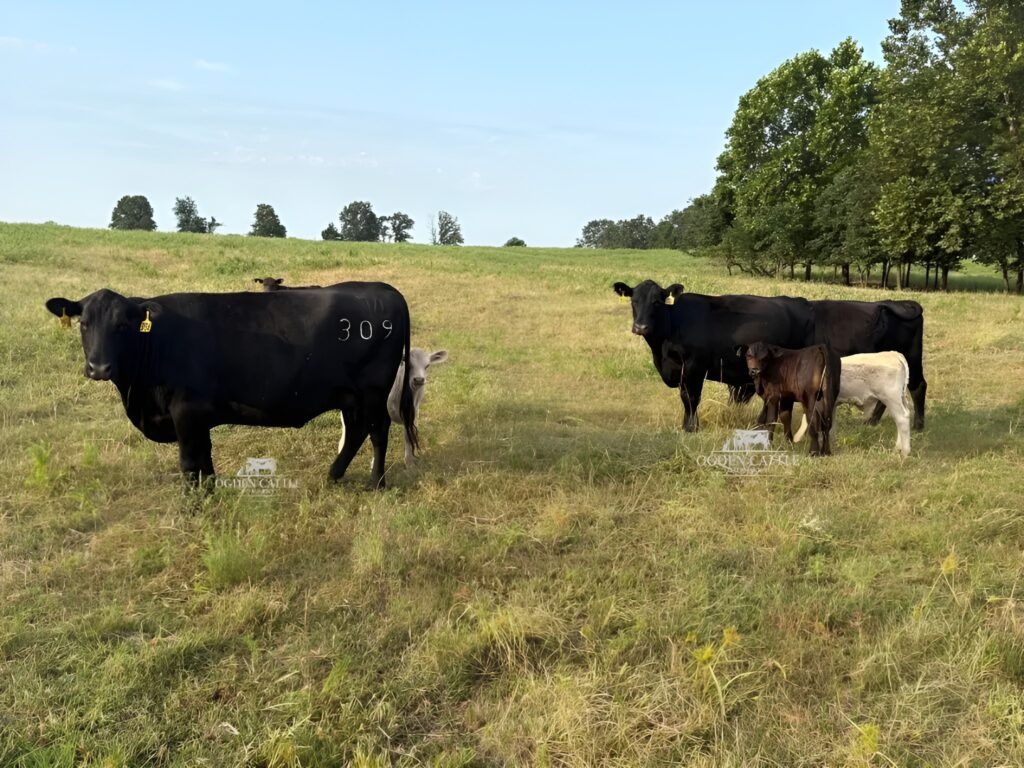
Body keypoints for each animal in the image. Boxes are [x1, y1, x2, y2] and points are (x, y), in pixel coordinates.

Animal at [45, 283, 416, 490]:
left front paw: (195, 507)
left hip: (373, 392)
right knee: (355, 431)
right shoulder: (196, 419)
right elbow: (205, 462)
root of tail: (382, 289)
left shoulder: (186, 412)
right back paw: (333, 475)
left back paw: (375, 483)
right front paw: (211, 497)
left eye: (122, 325)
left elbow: (190, 464)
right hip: (349, 395)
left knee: (378, 430)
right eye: (83, 324)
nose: (99, 367)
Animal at [612, 280, 815, 431]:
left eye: (657, 302)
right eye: (634, 301)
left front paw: (691, 428)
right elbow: (685, 398)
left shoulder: (694, 366)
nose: (640, 327)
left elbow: (690, 398)